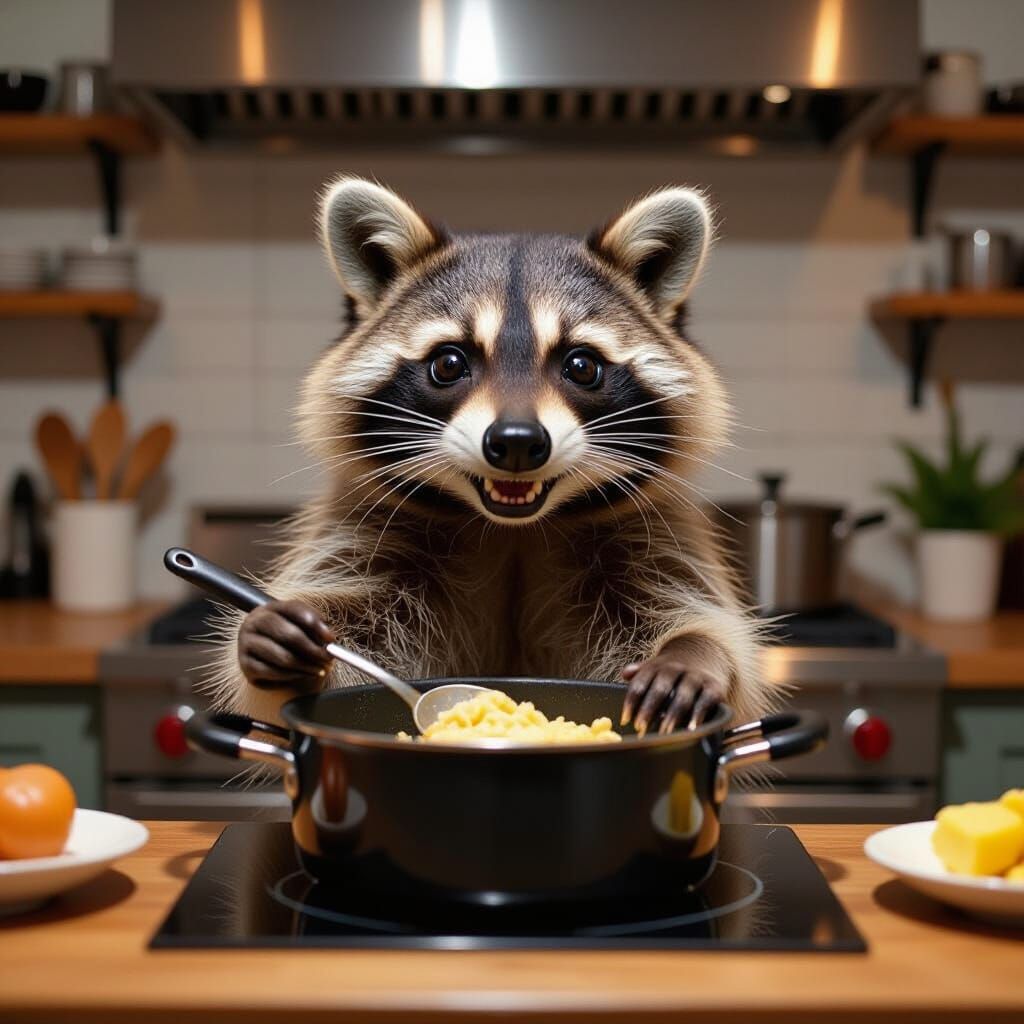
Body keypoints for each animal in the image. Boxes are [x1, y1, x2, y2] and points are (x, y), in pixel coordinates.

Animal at [212, 177, 774, 735]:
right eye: (448, 363)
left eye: (582, 366)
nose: (518, 441)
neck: (511, 529)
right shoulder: (362, 530)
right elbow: (355, 638)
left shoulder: (656, 534)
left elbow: (693, 611)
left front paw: (695, 651)